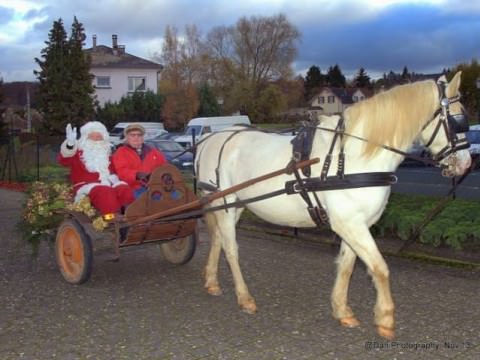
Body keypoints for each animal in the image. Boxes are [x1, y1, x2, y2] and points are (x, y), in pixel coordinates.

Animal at [194, 71, 468, 338]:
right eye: (457, 121)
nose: (465, 164)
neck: (352, 158)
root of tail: (211, 138)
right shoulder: (349, 223)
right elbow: (380, 268)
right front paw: (385, 319)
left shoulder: (356, 224)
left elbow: (347, 266)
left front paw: (342, 310)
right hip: (224, 202)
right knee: (231, 248)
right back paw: (244, 297)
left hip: (236, 204)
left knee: (218, 239)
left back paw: (212, 281)